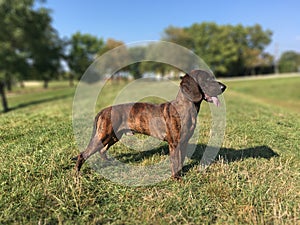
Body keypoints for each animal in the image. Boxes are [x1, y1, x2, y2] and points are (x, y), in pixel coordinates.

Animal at [73, 70, 225, 179]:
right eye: (206, 79)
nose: (224, 87)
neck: (185, 107)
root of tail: (103, 110)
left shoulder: (184, 142)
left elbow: (181, 161)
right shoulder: (174, 143)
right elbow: (175, 162)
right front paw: (177, 179)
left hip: (114, 136)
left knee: (102, 150)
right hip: (104, 135)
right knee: (83, 154)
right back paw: (77, 175)